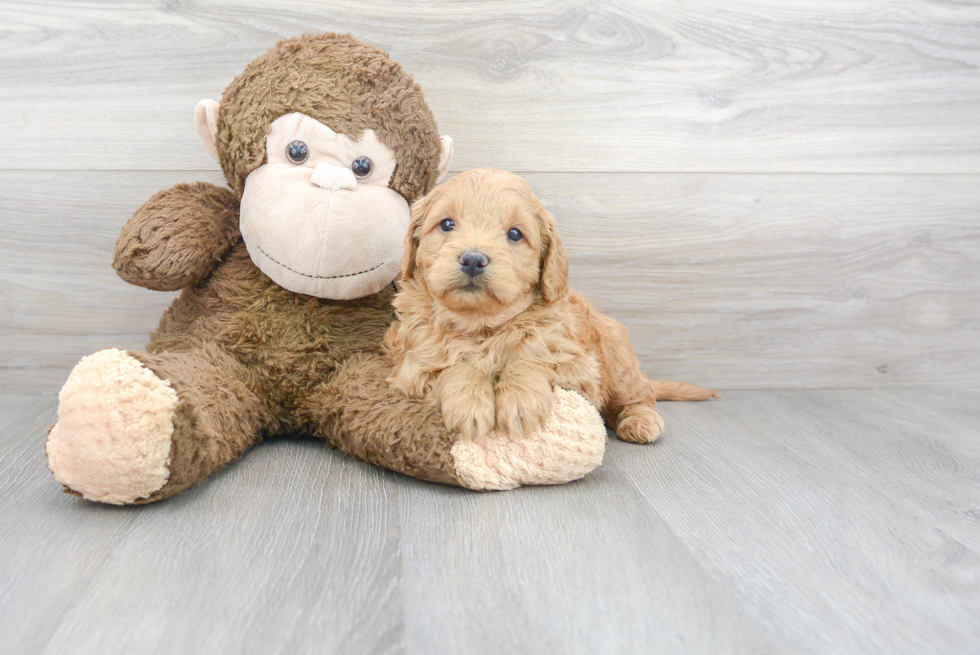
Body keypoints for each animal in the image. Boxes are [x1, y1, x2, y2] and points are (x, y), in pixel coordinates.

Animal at [386, 169, 716, 444]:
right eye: (446, 224)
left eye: (515, 234)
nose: (473, 259)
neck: (481, 326)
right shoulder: (415, 365)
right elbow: (455, 366)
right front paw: (470, 404)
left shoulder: (577, 365)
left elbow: (531, 360)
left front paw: (521, 401)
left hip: (617, 358)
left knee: (638, 396)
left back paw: (640, 421)